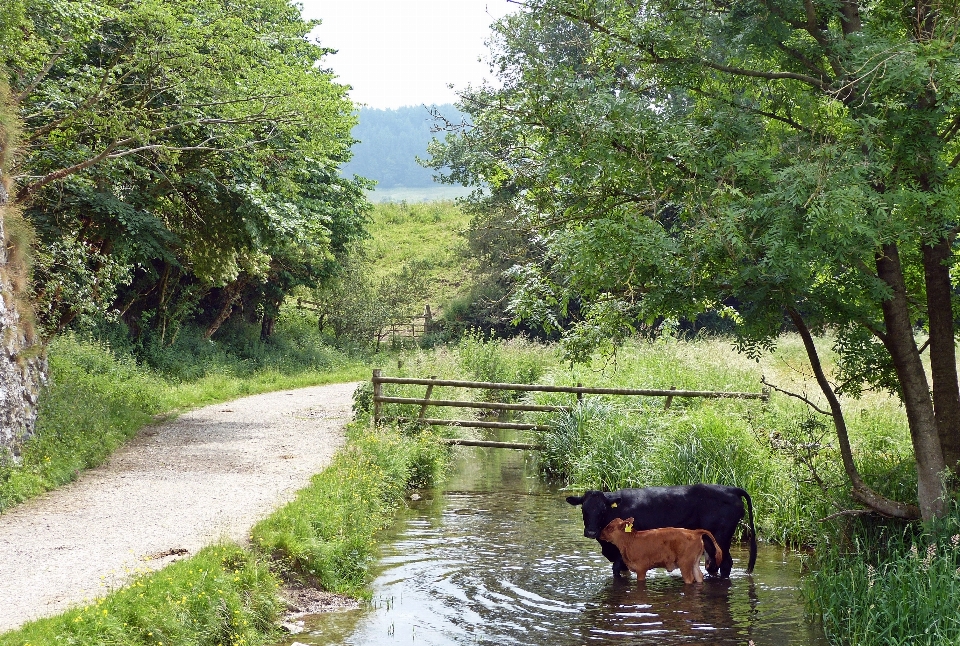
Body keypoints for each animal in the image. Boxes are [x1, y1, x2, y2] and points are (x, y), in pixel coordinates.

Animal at [596, 520, 724, 584]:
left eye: (610, 528)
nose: (600, 533)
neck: (630, 541)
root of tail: (694, 532)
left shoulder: (641, 568)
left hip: (685, 563)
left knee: (690, 579)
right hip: (694, 563)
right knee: (699, 576)